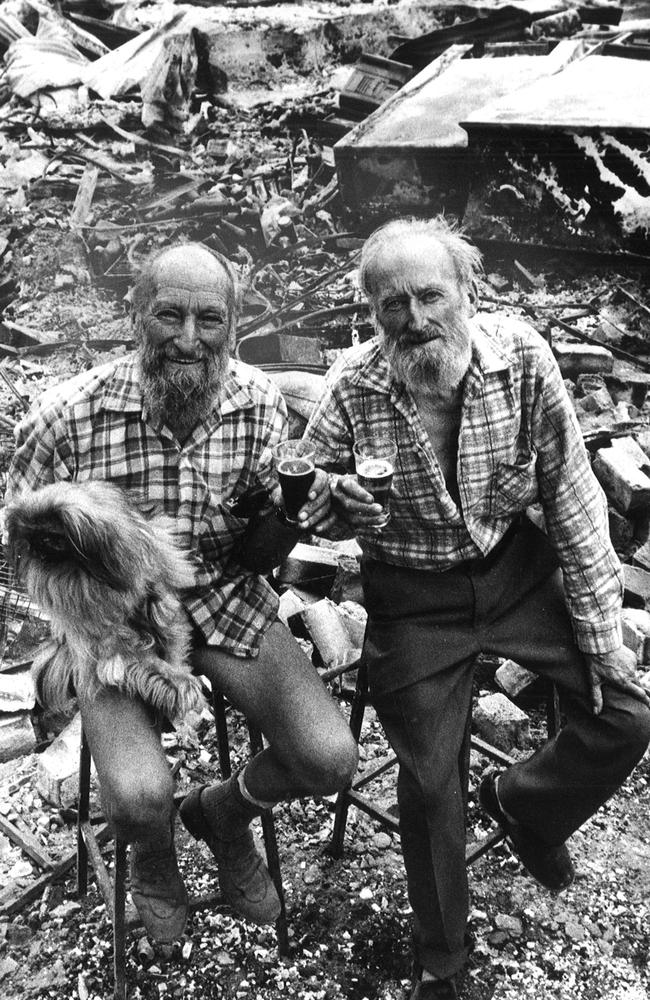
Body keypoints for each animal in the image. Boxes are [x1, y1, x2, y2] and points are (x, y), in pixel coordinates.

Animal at [3, 478, 202, 720]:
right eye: (31, 536)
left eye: (51, 538)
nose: (37, 551)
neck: (89, 576)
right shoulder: (108, 640)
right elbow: (146, 658)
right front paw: (176, 681)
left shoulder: (159, 598)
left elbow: (172, 640)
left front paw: (178, 675)